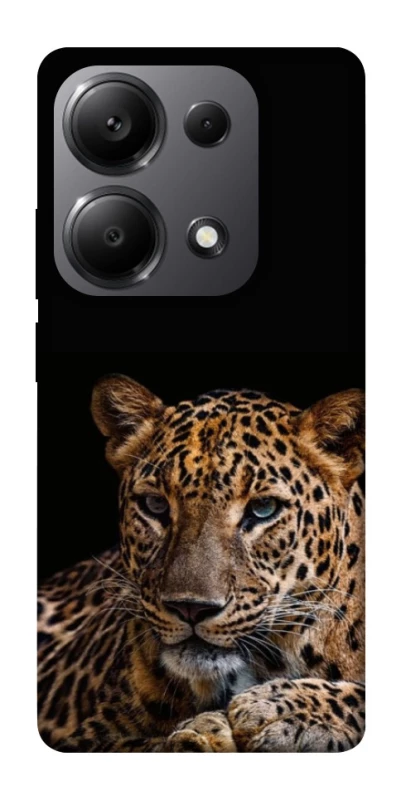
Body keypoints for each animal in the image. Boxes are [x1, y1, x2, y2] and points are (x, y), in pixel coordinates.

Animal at [38, 375, 365, 752]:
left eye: (263, 509)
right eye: (155, 505)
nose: (191, 608)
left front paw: (276, 709)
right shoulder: (91, 737)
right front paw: (209, 731)